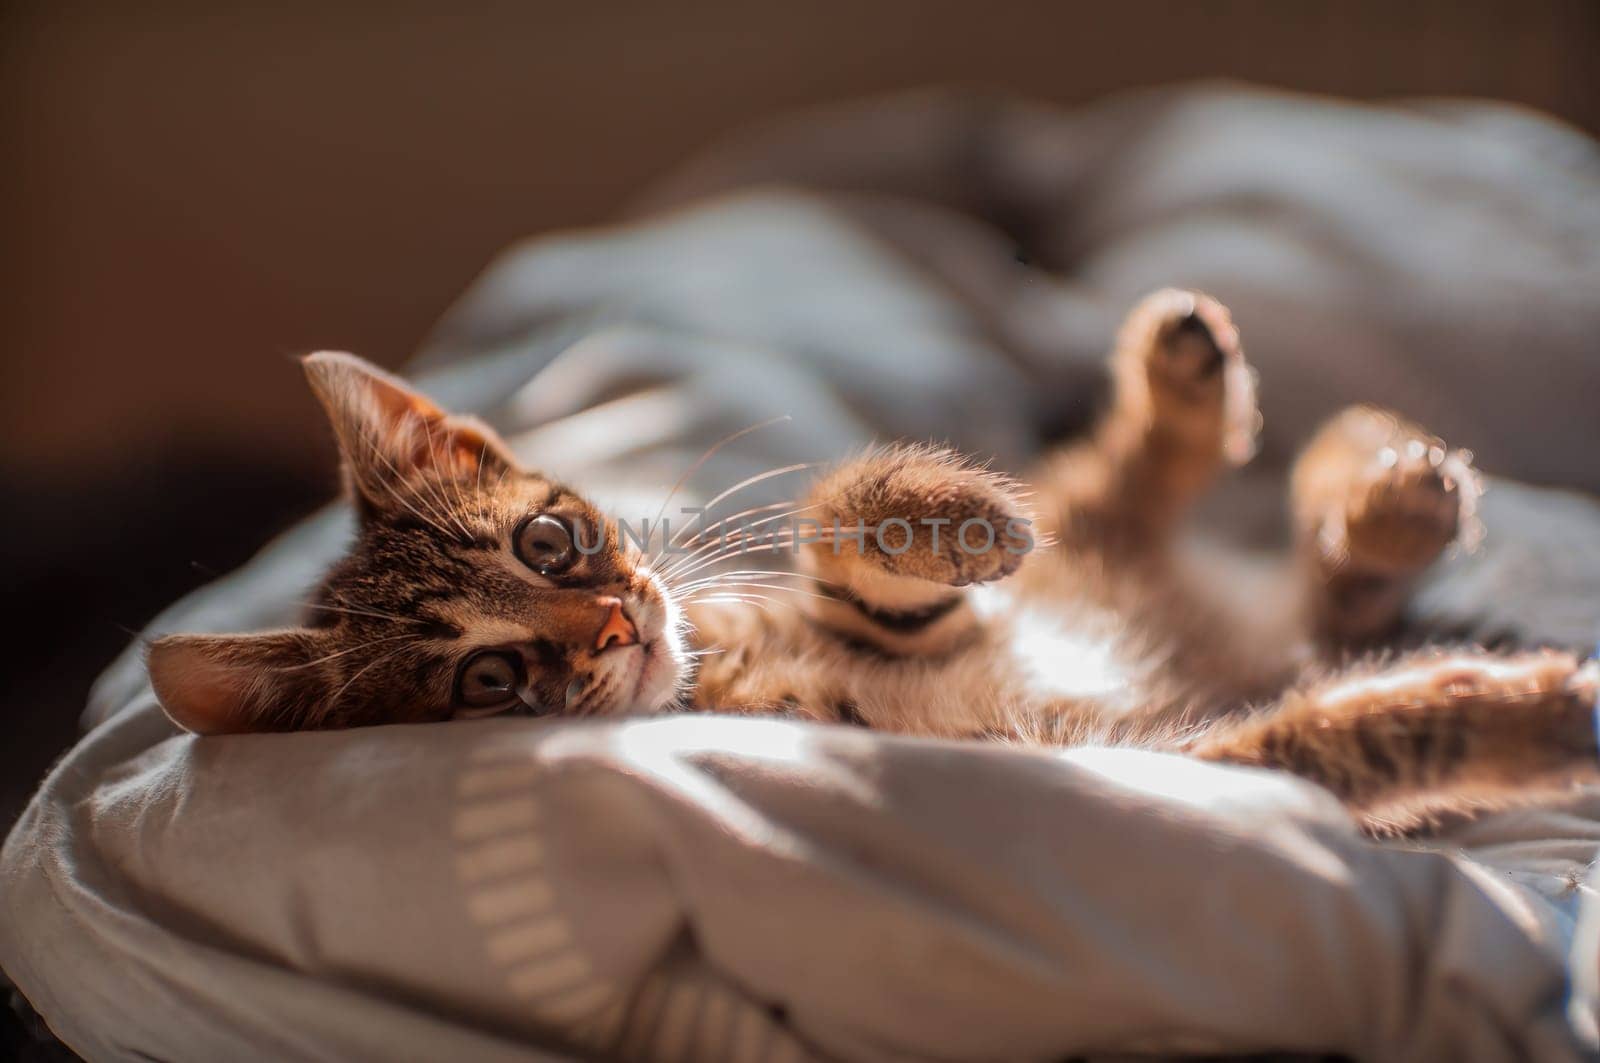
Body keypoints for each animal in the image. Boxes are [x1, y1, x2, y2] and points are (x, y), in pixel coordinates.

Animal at [152, 291, 1600, 832]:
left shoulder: (921, 617)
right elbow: (1354, 732)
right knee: (1316, 610)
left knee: (1128, 493)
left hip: (1126, 556)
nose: (618, 623)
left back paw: (1321, 450)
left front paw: (941, 517)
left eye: (547, 539)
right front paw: (1533, 717)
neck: (733, 671)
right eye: (487, 683)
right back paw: (1376, 502)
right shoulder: (1170, 757)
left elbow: (837, 521)